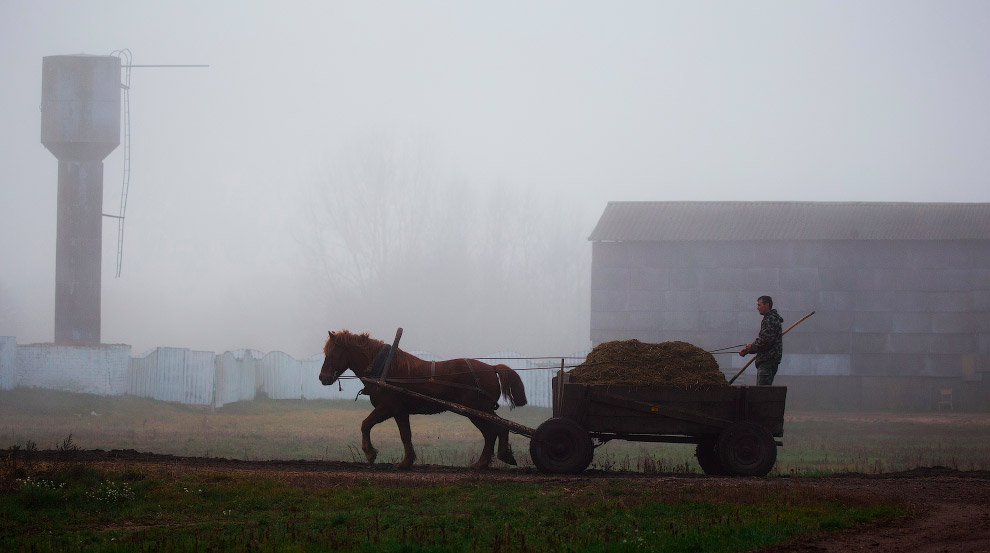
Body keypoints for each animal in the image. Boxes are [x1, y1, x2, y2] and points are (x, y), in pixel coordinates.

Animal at [322, 330, 532, 468]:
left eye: (331, 353)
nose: (322, 377)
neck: (385, 369)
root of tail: (491, 368)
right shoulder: (400, 412)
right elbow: (405, 435)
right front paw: (406, 461)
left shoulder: (387, 407)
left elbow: (366, 424)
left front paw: (370, 453)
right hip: (483, 410)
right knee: (499, 428)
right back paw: (497, 457)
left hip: (477, 411)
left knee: (492, 432)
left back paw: (483, 462)